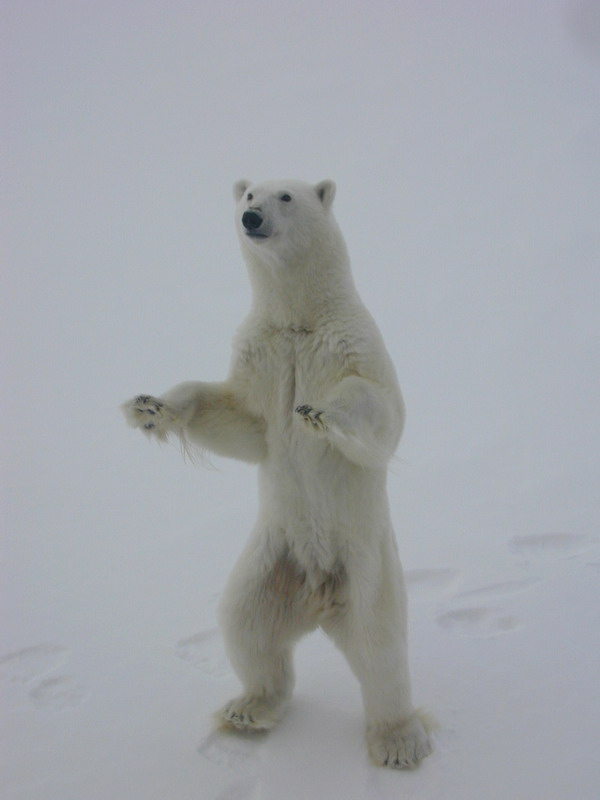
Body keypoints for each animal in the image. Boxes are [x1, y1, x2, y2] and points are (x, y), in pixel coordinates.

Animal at [122, 178, 432, 764]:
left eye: (286, 195)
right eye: (248, 195)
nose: (251, 218)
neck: (298, 319)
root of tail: (321, 596)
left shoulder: (352, 343)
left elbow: (378, 408)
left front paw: (319, 413)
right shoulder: (262, 353)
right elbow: (240, 420)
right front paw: (149, 407)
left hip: (368, 564)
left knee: (381, 647)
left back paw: (398, 739)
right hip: (270, 560)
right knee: (246, 626)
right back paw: (248, 709)